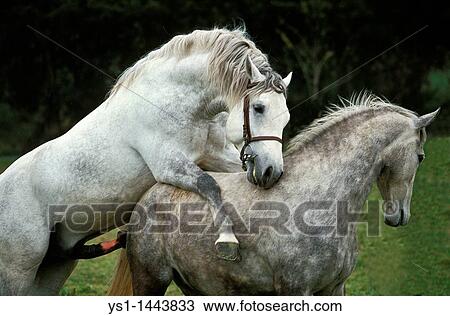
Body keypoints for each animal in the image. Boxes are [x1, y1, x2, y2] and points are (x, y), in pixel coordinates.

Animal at [0, 28, 292, 296]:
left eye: (286, 116)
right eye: (258, 108)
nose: (270, 172)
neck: (173, 102)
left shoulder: (217, 156)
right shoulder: (169, 166)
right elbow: (210, 185)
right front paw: (228, 241)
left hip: (54, 268)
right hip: (19, 271)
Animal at [110, 92, 440, 296]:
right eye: (421, 156)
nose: (399, 215)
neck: (323, 201)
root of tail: (146, 199)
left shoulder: (334, 289)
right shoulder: (295, 290)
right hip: (151, 280)